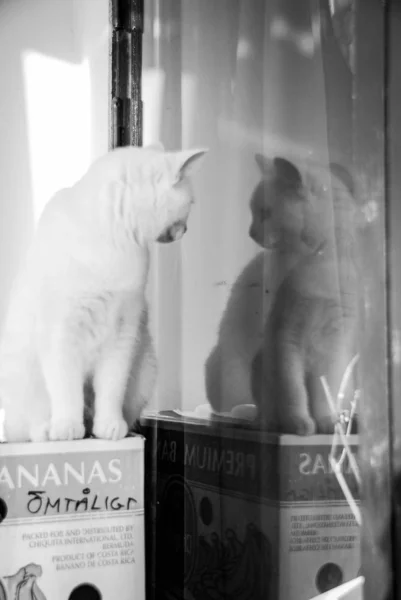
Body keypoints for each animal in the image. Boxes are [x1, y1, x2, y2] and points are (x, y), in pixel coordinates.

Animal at [0, 144, 206, 442]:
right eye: (191, 203)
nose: (186, 230)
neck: (117, 244)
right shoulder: (62, 333)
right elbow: (66, 389)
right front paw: (67, 427)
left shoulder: (123, 331)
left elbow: (110, 390)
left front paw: (108, 427)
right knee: (29, 426)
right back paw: (49, 430)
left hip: (145, 366)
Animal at [206, 152, 360, 434]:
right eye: (255, 212)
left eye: (265, 213)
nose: (250, 232)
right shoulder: (287, 338)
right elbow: (294, 394)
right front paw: (300, 425)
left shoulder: (333, 349)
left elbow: (322, 397)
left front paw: (325, 424)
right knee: (260, 410)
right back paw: (268, 422)